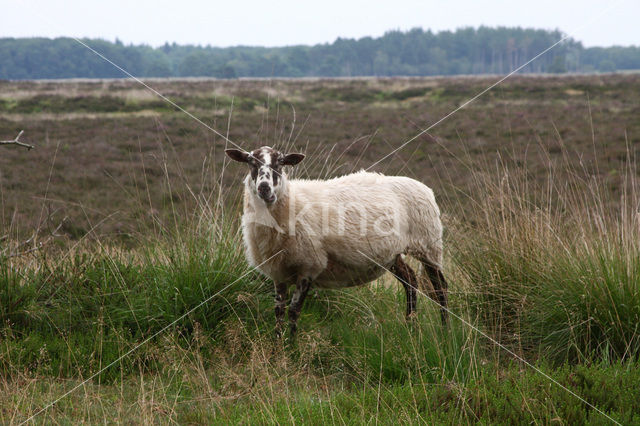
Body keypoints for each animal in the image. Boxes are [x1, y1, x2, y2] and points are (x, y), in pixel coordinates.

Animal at [228, 145, 448, 338]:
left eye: (280, 163)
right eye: (250, 162)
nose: (264, 188)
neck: (292, 202)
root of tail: (424, 187)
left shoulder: (309, 266)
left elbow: (293, 311)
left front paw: (292, 346)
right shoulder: (279, 271)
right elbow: (279, 312)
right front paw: (277, 345)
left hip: (428, 243)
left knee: (440, 287)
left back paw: (445, 331)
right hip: (393, 253)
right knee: (410, 281)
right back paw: (411, 326)